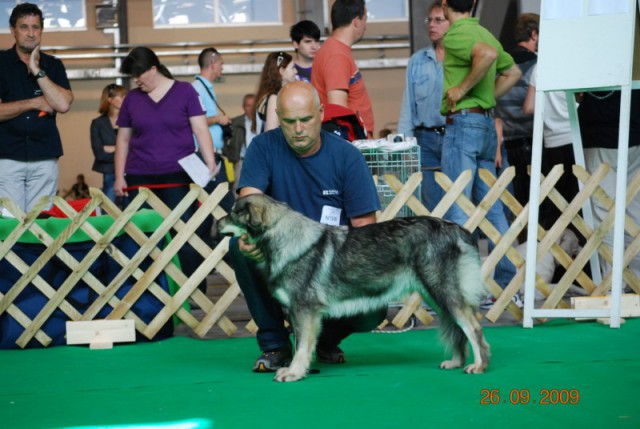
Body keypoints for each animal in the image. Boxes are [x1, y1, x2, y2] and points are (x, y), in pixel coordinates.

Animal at [220, 194, 490, 382]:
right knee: (458, 330)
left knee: (473, 328)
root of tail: (459, 230)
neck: (286, 238)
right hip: (437, 297)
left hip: (444, 294)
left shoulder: (304, 311)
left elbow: (302, 347)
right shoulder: (301, 313)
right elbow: (301, 345)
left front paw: (294, 372)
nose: (216, 223)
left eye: (233, 213)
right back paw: (455, 362)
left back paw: (479, 366)